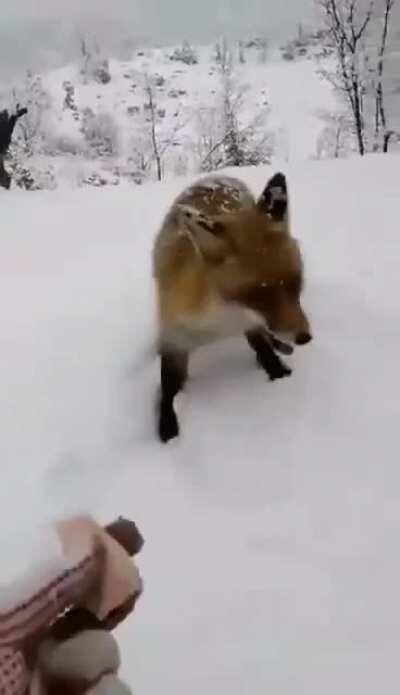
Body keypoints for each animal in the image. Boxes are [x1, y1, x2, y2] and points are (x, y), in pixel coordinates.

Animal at [152, 172, 312, 443]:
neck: (221, 318)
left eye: (296, 283)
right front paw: (168, 429)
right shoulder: (175, 336)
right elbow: (168, 387)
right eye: (260, 292)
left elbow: (263, 349)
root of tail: (217, 175)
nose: (304, 337)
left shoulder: (251, 322)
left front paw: (277, 372)